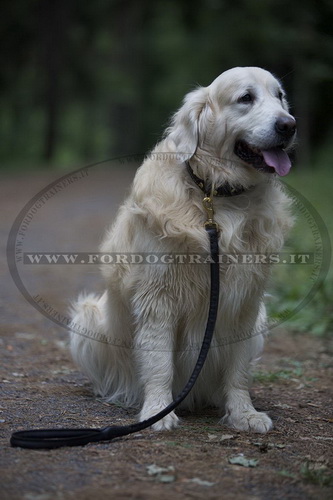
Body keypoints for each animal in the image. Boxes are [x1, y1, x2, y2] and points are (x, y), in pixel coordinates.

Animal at [70, 67, 296, 434]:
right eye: (245, 98)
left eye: (280, 97)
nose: (289, 125)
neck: (216, 195)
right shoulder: (158, 296)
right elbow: (159, 361)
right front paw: (157, 411)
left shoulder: (245, 300)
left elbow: (238, 369)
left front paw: (244, 413)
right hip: (86, 318)